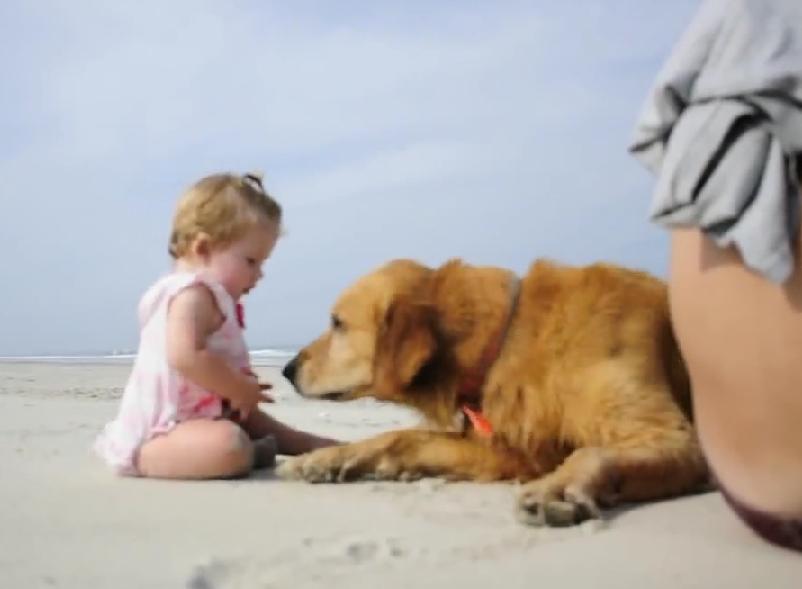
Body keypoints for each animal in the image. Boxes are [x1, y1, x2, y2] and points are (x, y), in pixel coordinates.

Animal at [276, 260, 708, 524]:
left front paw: (559, 486)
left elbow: (591, 451)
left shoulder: (671, 437)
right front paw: (326, 459)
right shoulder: (512, 447)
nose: (286, 369)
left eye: (337, 323)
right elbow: (404, 437)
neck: (505, 337)